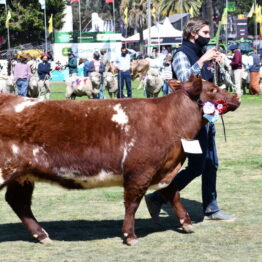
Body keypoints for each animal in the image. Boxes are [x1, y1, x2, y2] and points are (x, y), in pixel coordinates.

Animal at [0, 75, 239, 246]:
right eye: (213, 89)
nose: (236, 97)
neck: (170, 122)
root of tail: (9, 97)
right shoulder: (140, 172)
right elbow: (132, 204)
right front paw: (130, 236)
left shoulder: (163, 170)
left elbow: (174, 194)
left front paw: (186, 224)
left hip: (23, 176)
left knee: (18, 202)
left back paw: (42, 235)